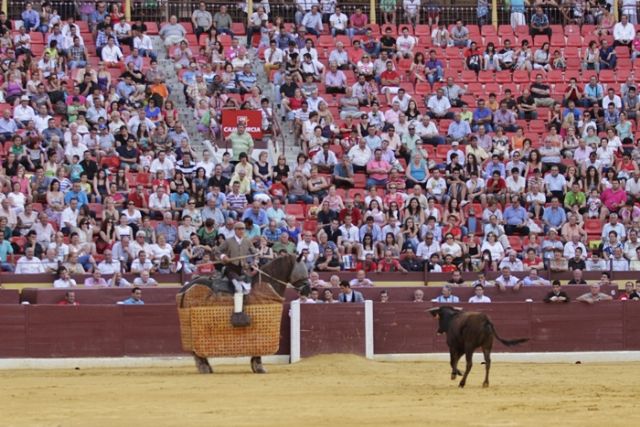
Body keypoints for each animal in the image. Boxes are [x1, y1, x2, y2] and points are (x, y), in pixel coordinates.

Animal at [178, 254, 310, 374]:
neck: (265, 286)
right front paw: (259, 367)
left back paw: (207, 368)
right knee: (196, 350)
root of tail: (185, 288)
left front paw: (256, 367)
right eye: (302, 270)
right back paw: (204, 368)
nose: (308, 290)